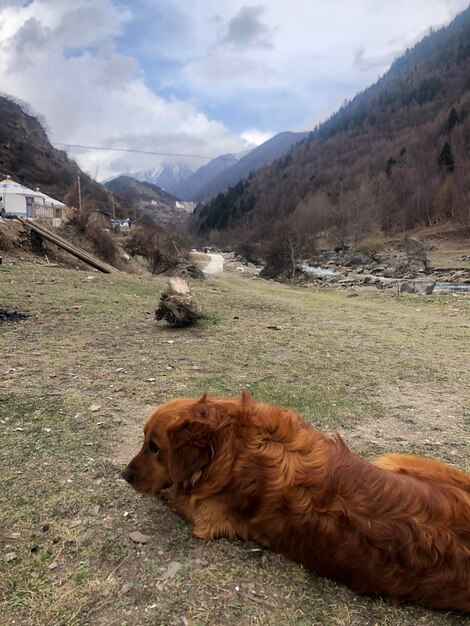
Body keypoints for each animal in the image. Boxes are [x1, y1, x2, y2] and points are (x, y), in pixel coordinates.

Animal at [122, 390, 470, 608]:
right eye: (145, 441)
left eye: (154, 447)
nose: (125, 475)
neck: (230, 444)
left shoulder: (206, 516)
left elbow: (174, 492)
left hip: (394, 459)